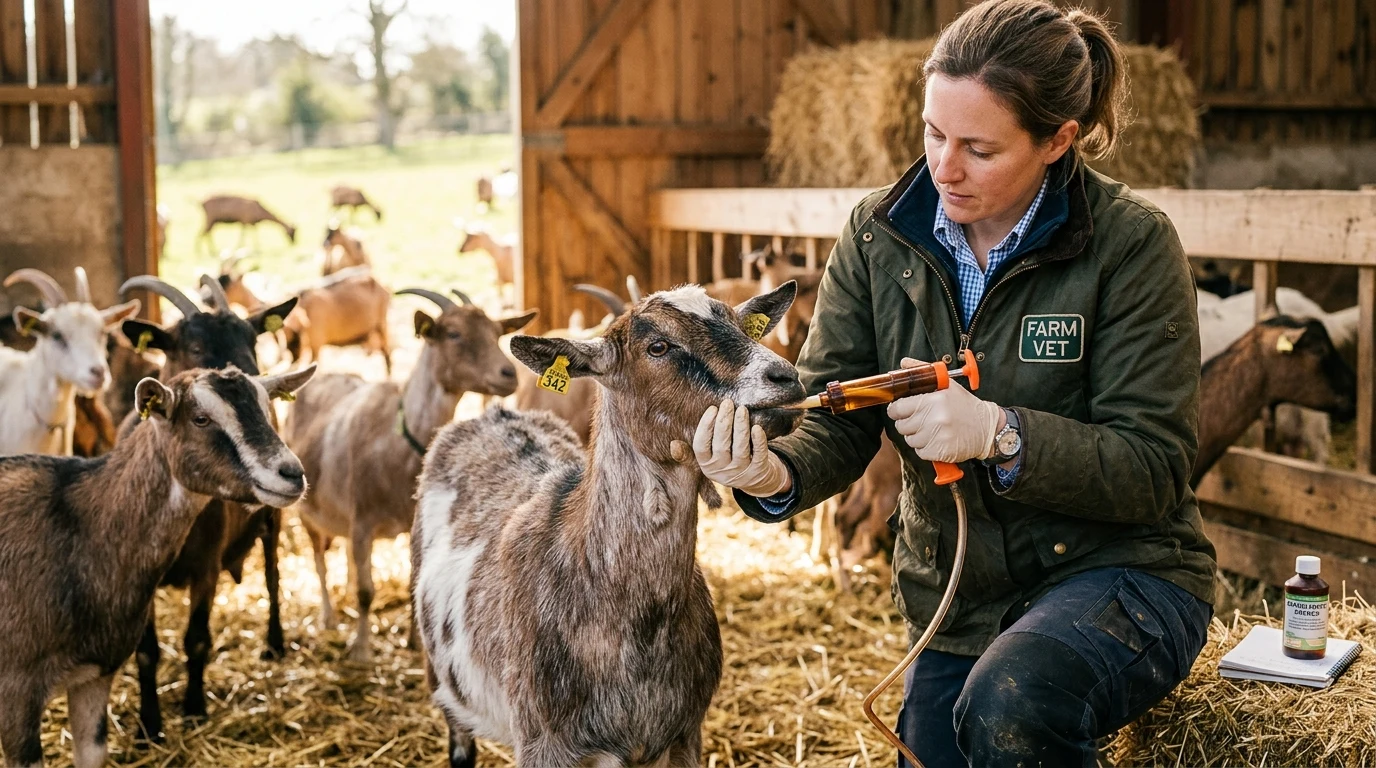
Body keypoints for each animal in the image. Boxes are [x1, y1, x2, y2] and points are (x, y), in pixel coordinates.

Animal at [0, 365, 314, 768]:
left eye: (267, 409)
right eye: (200, 418)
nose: (291, 473)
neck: (79, 526)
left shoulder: (93, 676)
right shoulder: (16, 693)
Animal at [117, 275, 301, 741]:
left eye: (254, 340)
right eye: (195, 346)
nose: (257, 387)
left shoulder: (206, 566)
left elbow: (196, 638)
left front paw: (195, 708)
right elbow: (146, 650)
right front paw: (149, 725)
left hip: (272, 520)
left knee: (272, 575)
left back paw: (274, 643)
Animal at [285, 288, 536, 663]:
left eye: (496, 332)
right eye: (453, 334)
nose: (509, 375)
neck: (398, 437)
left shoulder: (409, 525)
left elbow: (411, 585)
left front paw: (415, 642)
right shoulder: (363, 523)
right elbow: (366, 591)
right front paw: (361, 650)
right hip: (309, 513)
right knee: (319, 560)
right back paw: (328, 616)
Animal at [411, 282, 802, 767]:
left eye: (740, 324)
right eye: (658, 346)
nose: (785, 377)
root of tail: (493, 415)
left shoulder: (683, 734)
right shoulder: (544, 742)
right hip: (444, 681)